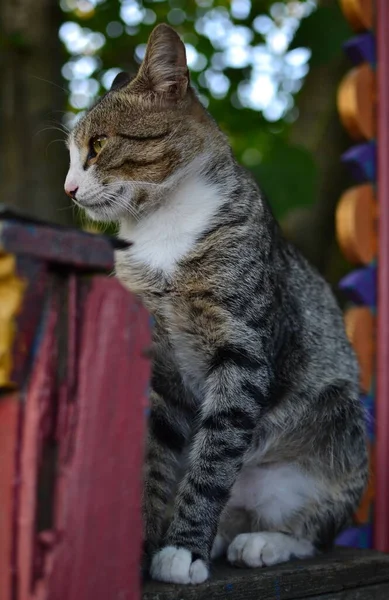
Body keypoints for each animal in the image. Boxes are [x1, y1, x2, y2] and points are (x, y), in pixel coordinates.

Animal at [63, 24, 366, 584]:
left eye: (98, 144)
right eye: (71, 155)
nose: (70, 188)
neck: (159, 230)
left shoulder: (241, 349)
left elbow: (215, 454)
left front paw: (183, 549)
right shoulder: (158, 364)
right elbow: (153, 455)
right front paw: (142, 544)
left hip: (339, 422)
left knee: (314, 529)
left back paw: (263, 541)